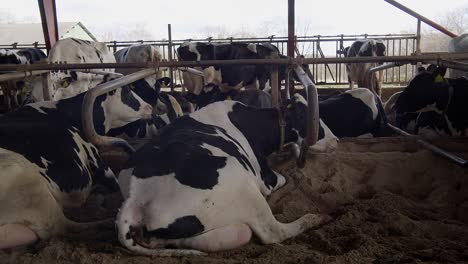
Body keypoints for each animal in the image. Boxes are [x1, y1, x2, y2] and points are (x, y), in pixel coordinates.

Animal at [115, 93, 330, 256]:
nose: (335, 139)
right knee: (274, 231)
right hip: (241, 183)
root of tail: (135, 199)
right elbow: (283, 178)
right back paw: (315, 218)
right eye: (307, 116)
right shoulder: (265, 178)